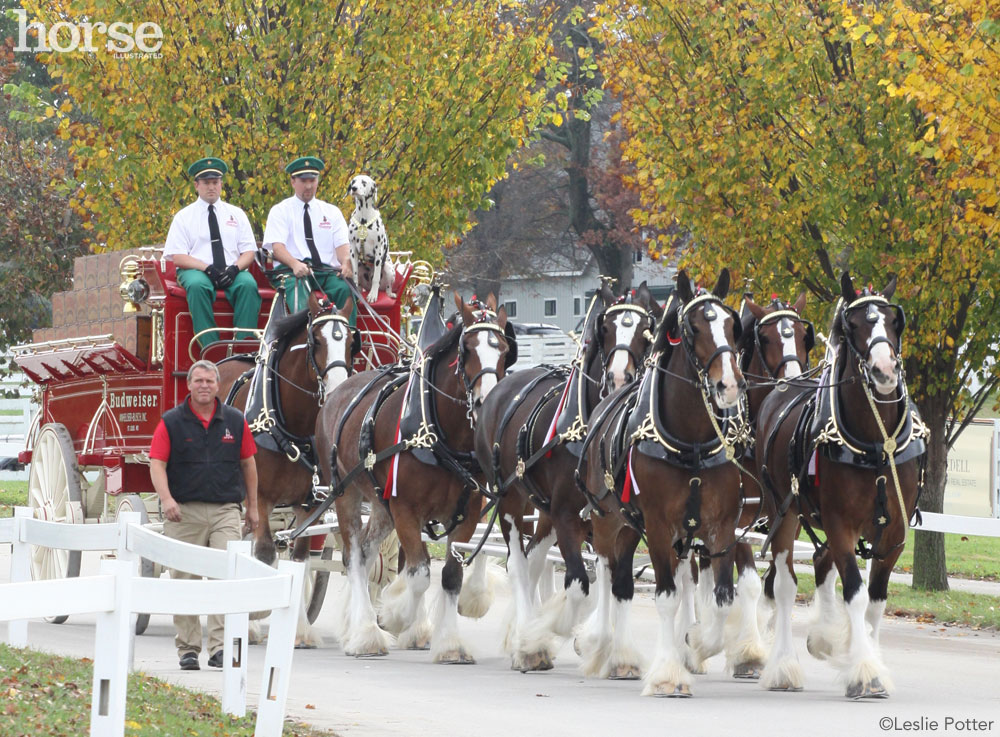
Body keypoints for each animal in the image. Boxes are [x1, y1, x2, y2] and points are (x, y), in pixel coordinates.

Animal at [316, 294, 512, 660]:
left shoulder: (466, 513)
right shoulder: (406, 510)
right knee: (353, 557)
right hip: (345, 494)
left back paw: (356, 623)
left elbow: (450, 575)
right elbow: (419, 574)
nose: (486, 403)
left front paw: (448, 643)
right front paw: (397, 616)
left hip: (380, 505)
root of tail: (339, 390)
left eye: (505, 349)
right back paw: (365, 633)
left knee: (367, 553)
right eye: (467, 348)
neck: (438, 433)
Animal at [472, 278, 660, 668]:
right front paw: (552, 633)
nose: (619, 377)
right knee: (519, 563)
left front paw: (611, 649)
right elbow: (579, 585)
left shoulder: (617, 519)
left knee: (533, 560)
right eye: (606, 327)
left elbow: (614, 581)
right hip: (511, 500)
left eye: (645, 330)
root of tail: (501, 388)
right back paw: (528, 639)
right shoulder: (567, 516)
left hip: (543, 510)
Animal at [576, 268, 748, 692]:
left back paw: (623, 657)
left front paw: (696, 644)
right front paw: (668, 674)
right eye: (692, 327)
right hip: (607, 518)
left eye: (731, 324)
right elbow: (665, 597)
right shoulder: (655, 525)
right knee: (607, 570)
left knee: (624, 582)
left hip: (642, 528)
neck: (692, 443)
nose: (729, 385)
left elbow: (722, 599)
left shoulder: (720, 526)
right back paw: (599, 642)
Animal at [756, 274, 928, 700]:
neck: (877, 443)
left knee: (819, 564)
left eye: (894, 320)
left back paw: (823, 639)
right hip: (784, 513)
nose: (884, 369)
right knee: (783, 584)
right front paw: (865, 672)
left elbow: (876, 600)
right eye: (854, 325)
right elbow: (853, 590)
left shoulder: (895, 533)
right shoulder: (839, 524)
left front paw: (868, 656)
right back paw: (782, 666)